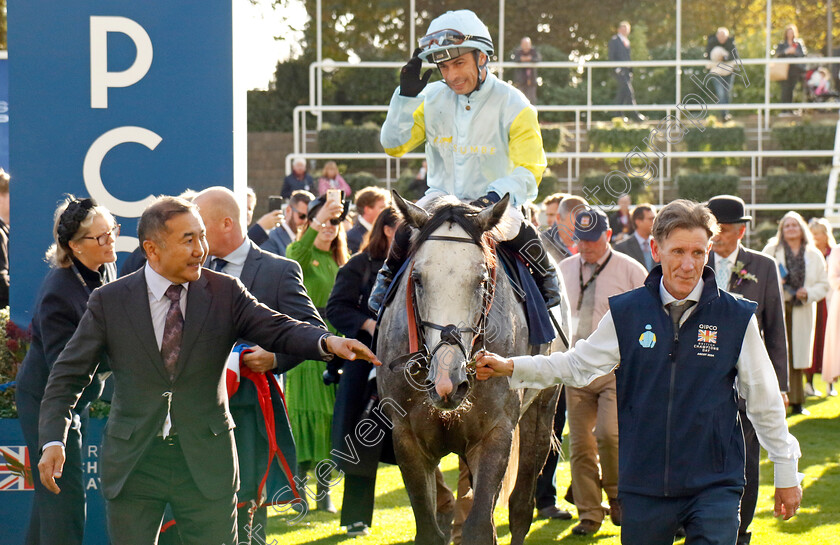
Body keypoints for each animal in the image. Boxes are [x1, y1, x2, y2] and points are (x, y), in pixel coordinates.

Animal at [378, 194, 572, 544]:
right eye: (417, 279)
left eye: (482, 280)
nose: (447, 382)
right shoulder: (407, 440)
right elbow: (431, 530)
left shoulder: (495, 435)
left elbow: (480, 528)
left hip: (542, 408)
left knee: (521, 505)